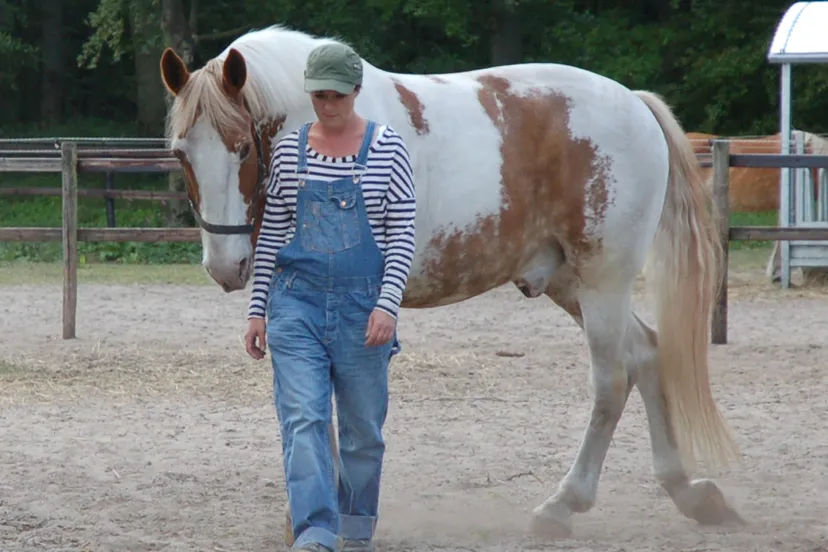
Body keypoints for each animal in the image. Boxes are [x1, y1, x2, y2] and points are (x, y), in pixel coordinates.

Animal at [159, 25, 743, 544]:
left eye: (241, 148)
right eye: (180, 154)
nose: (226, 266)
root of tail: (634, 104)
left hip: (604, 281)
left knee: (612, 382)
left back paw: (563, 503)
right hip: (570, 284)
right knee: (646, 355)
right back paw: (687, 491)